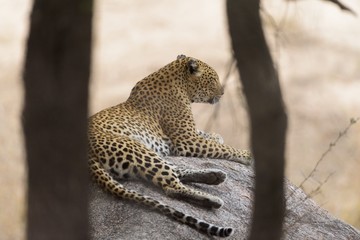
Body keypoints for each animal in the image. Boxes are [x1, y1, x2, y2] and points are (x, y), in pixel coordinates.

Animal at [88, 54, 252, 238]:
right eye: (213, 79)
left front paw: (217, 136)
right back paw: (212, 199)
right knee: (171, 187)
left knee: (175, 171)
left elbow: (207, 136)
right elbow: (223, 148)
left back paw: (215, 175)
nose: (222, 93)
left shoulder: (189, 135)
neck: (179, 82)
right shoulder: (187, 141)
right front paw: (247, 155)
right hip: (134, 147)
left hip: (144, 151)